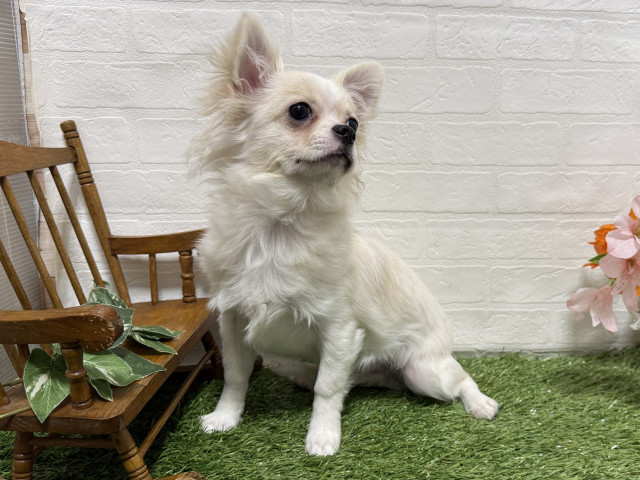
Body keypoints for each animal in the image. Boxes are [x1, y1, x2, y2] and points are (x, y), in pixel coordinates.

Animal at [192, 14, 498, 456]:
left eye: (353, 121)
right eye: (299, 111)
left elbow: (328, 387)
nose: (348, 132)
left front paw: (322, 436)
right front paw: (225, 418)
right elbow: (236, 376)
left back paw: (480, 403)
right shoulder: (232, 322)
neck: (280, 225)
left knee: (459, 378)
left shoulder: (338, 328)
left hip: (425, 371)